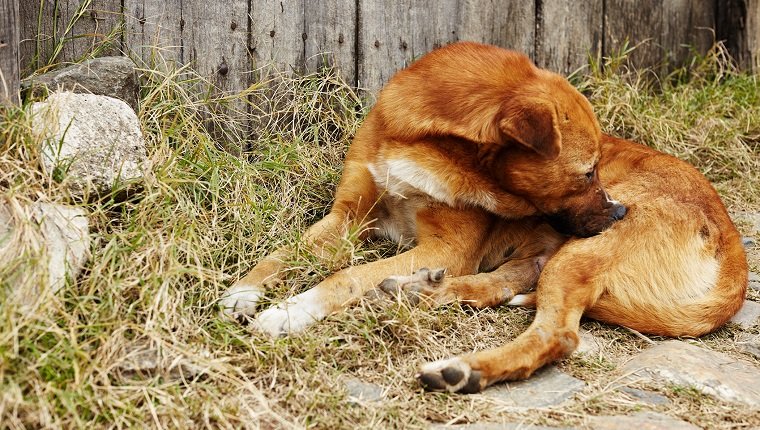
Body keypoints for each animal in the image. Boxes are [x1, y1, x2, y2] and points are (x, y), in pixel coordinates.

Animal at [220, 41, 748, 394]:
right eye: (586, 172)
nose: (620, 210)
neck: (428, 145)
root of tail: (732, 242)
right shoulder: (347, 218)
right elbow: (282, 253)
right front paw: (242, 292)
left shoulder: (447, 247)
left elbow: (345, 276)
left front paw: (290, 312)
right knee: (506, 283)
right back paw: (417, 292)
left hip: (579, 254)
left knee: (557, 333)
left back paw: (463, 367)